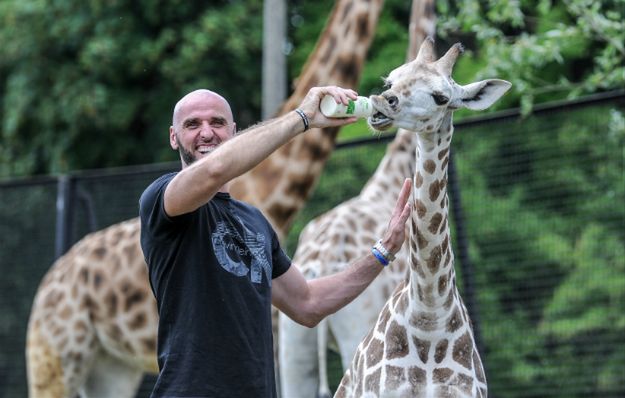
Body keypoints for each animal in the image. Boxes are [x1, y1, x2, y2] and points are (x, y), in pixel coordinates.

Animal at [24, 1, 382, 396]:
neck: (261, 194)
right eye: (194, 124)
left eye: (216, 122)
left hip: (111, 366)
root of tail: (47, 283)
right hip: (55, 354)